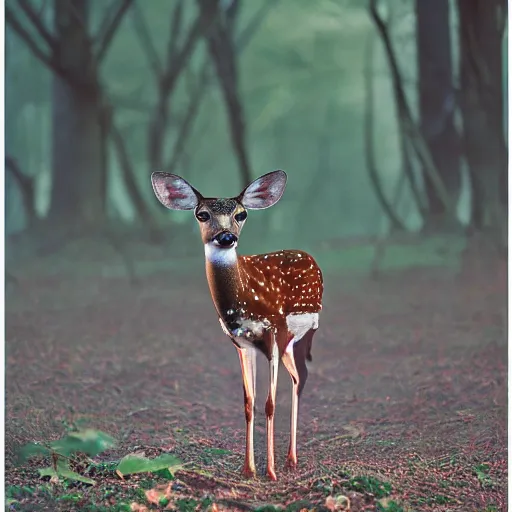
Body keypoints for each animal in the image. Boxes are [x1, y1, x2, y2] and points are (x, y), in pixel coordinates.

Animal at [150, 171, 324, 480]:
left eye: (241, 214)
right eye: (202, 214)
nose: (226, 237)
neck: (243, 299)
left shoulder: (273, 330)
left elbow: (269, 403)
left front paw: (270, 472)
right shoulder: (241, 343)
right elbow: (248, 402)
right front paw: (248, 469)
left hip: (300, 330)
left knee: (300, 376)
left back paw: (290, 459)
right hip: (288, 340)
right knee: (298, 375)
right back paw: (289, 459)